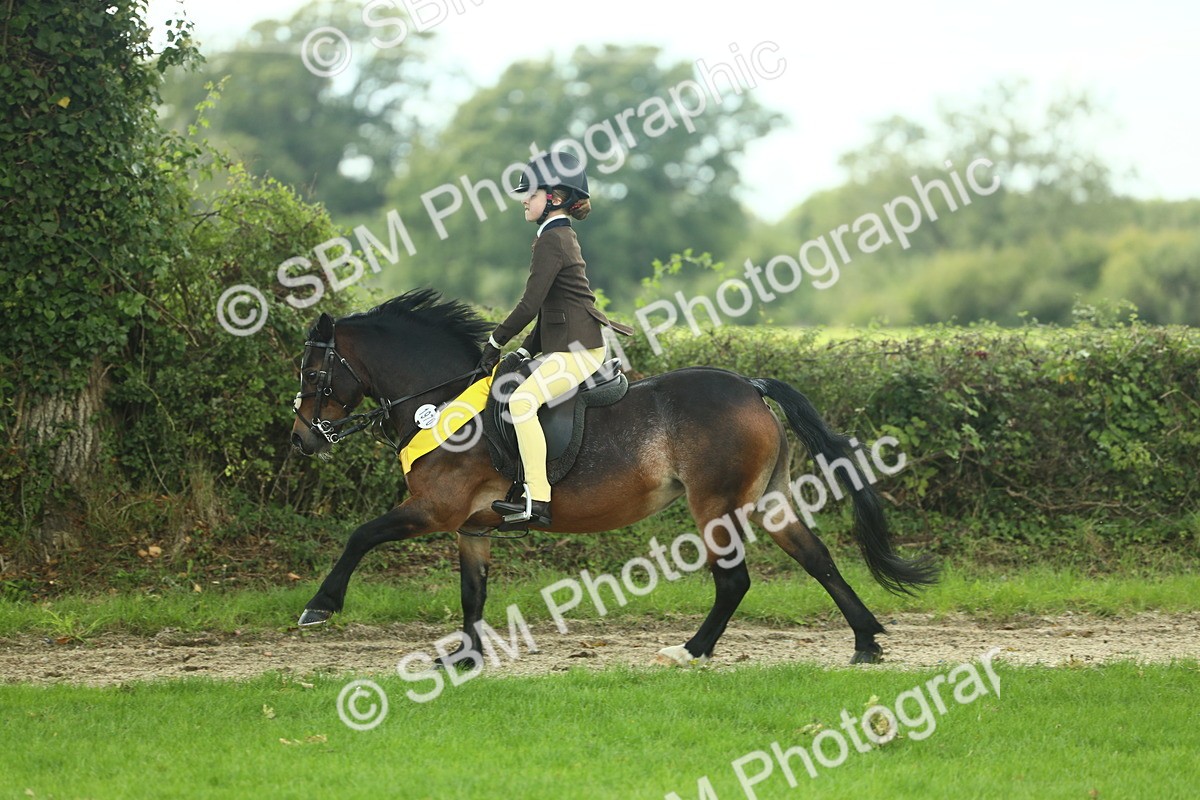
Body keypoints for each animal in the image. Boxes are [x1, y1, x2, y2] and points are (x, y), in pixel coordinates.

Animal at [289, 289, 937, 665]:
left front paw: (319, 606)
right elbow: (473, 593)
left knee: (734, 581)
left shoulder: (434, 510)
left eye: (315, 372)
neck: (442, 401)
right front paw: (468, 658)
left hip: (716, 506)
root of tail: (749, 386)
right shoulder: (470, 526)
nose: (300, 440)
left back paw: (691, 650)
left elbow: (360, 536)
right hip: (766, 500)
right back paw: (865, 641)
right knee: (817, 557)